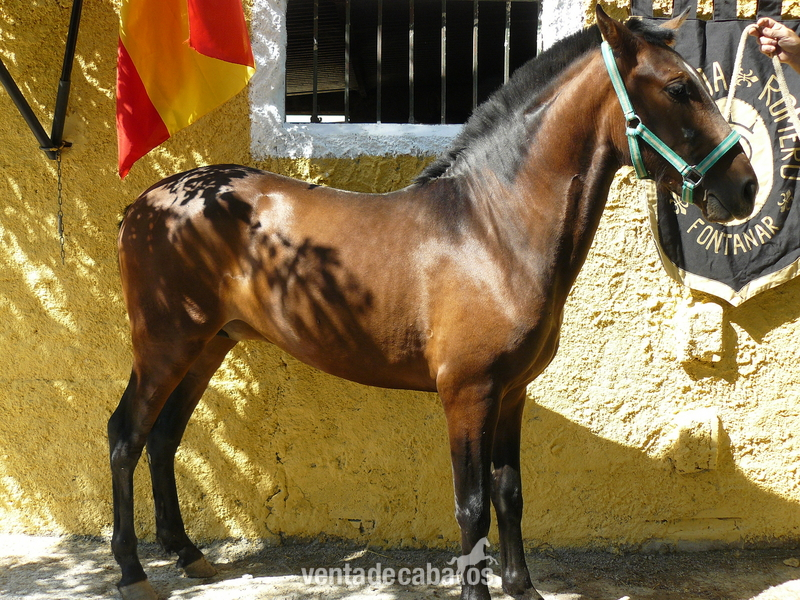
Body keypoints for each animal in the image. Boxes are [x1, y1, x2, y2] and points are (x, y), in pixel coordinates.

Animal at [109, 7, 757, 600]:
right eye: (678, 88)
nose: (745, 187)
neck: (492, 230)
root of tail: (145, 203)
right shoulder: (467, 393)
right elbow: (471, 505)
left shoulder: (511, 392)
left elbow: (509, 492)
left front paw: (522, 587)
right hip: (166, 344)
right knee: (126, 435)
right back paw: (132, 571)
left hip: (209, 344)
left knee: (164, 438)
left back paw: (187, 553)